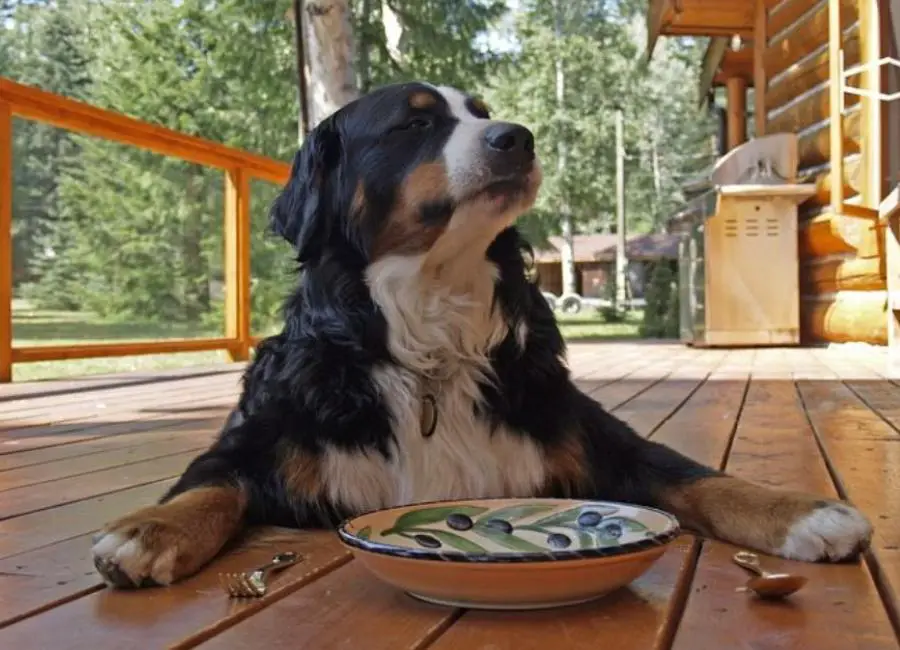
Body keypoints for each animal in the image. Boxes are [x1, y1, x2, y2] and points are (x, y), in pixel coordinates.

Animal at [91, 81, 872, 588]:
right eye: (412, 126)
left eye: (484, 115)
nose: (517, 138)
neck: (431, 337)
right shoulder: (260, 438)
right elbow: (210, 486)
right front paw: (147, 530)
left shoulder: (591, 435)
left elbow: (698, 477)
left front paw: (801, 513)